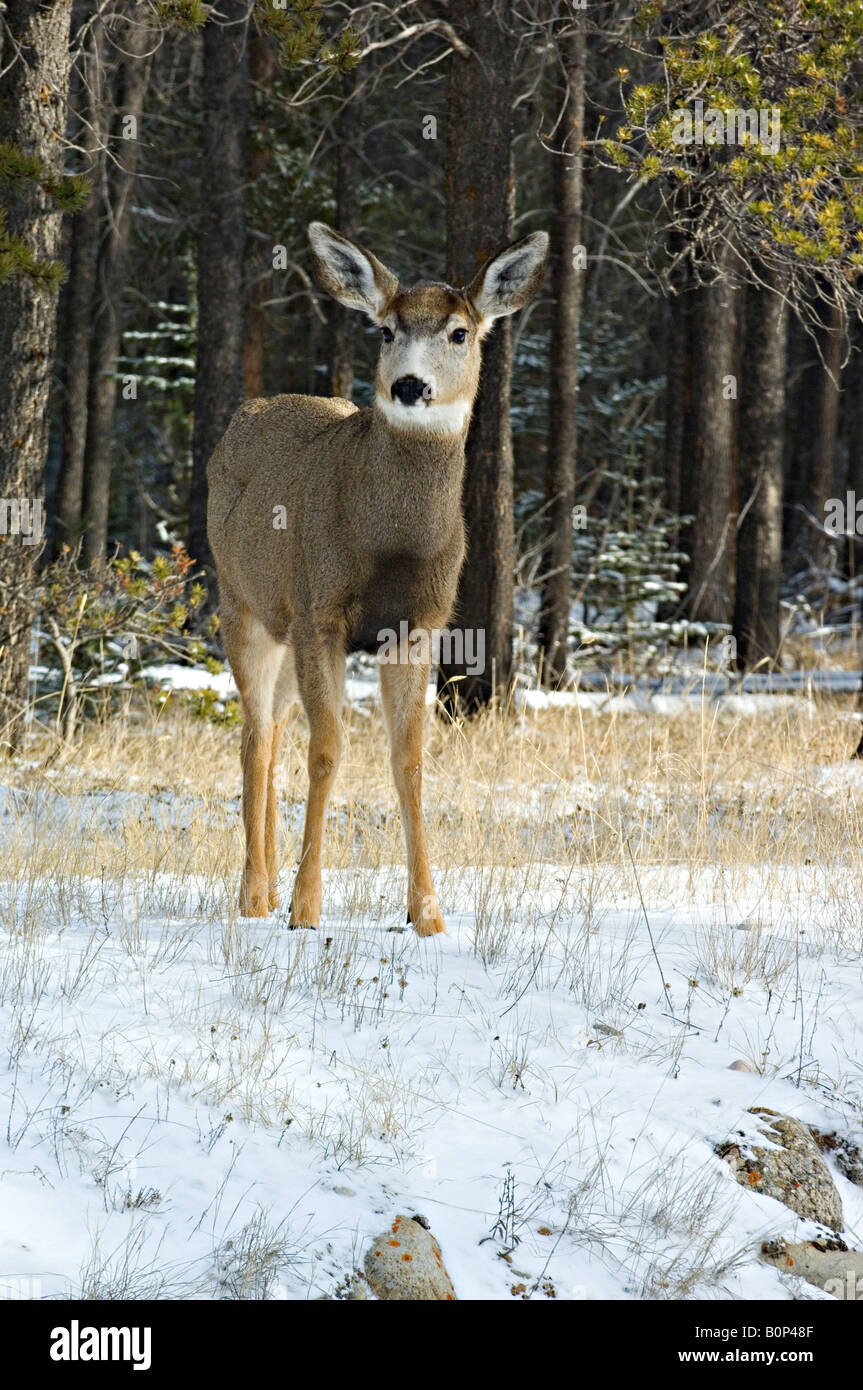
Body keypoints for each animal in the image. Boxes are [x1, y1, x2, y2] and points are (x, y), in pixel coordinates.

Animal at [207, 221, 548, 933]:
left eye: (460, 332)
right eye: (387, 330)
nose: (411, 386)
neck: (390, 544)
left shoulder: (420, 626)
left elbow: (409, 760)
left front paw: (428, 914)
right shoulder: (321, 611)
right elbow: (328, 752)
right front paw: (306, 909)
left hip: (283, 631)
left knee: (274, 734)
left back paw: (267, 889)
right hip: (244, 604)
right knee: (255, 739)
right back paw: (254, 896)